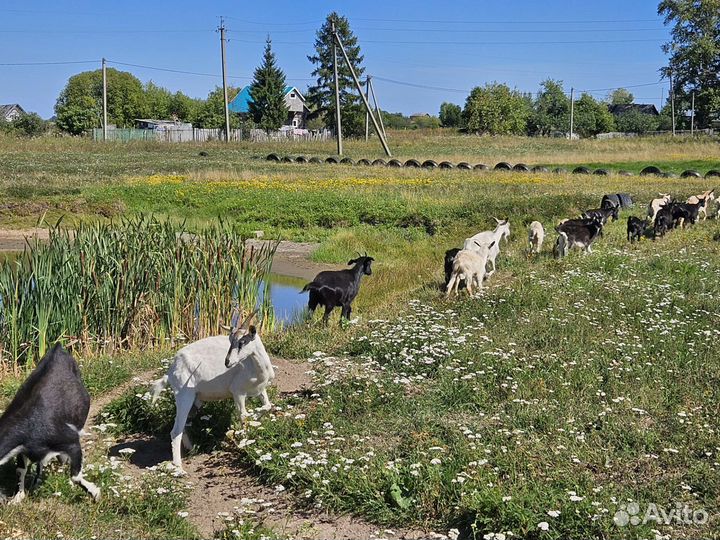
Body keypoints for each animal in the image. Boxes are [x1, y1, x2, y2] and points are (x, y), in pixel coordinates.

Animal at [0, 344, 100, 504]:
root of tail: (57, 347)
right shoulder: (21, 449)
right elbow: (20, 470)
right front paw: (17, 497)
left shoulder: (70, 441)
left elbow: (75, 476)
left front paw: (95, 493)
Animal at [150, 311, 274, 472]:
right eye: (230, 341)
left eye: (242, 341)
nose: (227, 362)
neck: (257, 369)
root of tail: (171, 371)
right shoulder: (238, 392)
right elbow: (243, 416)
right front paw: (245, 441)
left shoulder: (261, 389)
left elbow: (268, 406)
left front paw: (255, 420)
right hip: (184, 397)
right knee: (175, 431)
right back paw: (179, 467)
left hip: (196, 401)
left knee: (184, 424)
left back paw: (191, 449)